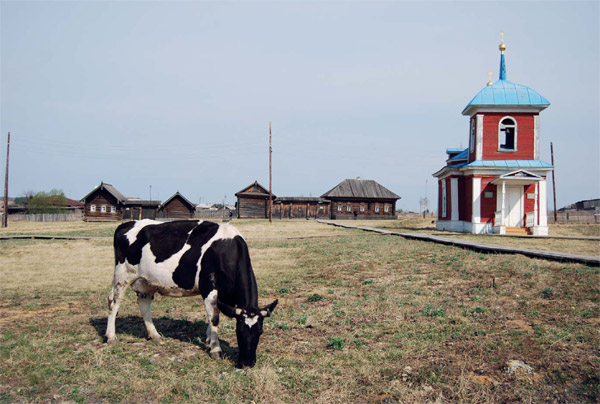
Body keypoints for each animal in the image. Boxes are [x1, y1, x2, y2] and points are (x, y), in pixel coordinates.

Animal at [105, 219, 278, 368]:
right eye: (238, 331)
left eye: (260, 332)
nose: (248, 363)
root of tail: (125, 224)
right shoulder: (208, 287)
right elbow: (214, 318)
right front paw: (215, 349)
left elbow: (212, 317)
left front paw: (209, 339)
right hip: (122, 275)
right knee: (114, 303)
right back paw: (111, 337)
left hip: (146, 282)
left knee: (144, 304)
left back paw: (155, 335)